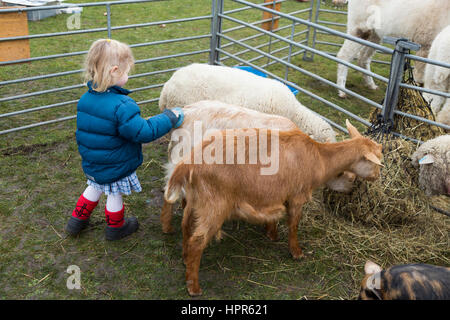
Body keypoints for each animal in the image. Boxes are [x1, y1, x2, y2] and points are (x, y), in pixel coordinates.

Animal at [165, 120, 384, 298]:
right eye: (376, 161)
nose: (376, 177)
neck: (320, 158)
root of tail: (188, 164)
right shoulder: (296, 196)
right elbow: (293, 224)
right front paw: (296, 252)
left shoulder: (277, 193)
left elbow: (274, 217)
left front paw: (272, 233)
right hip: (214, 205)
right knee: (197, 241)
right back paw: (193, 287)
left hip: (196, 201)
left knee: (186, 227)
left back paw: (185, 259)